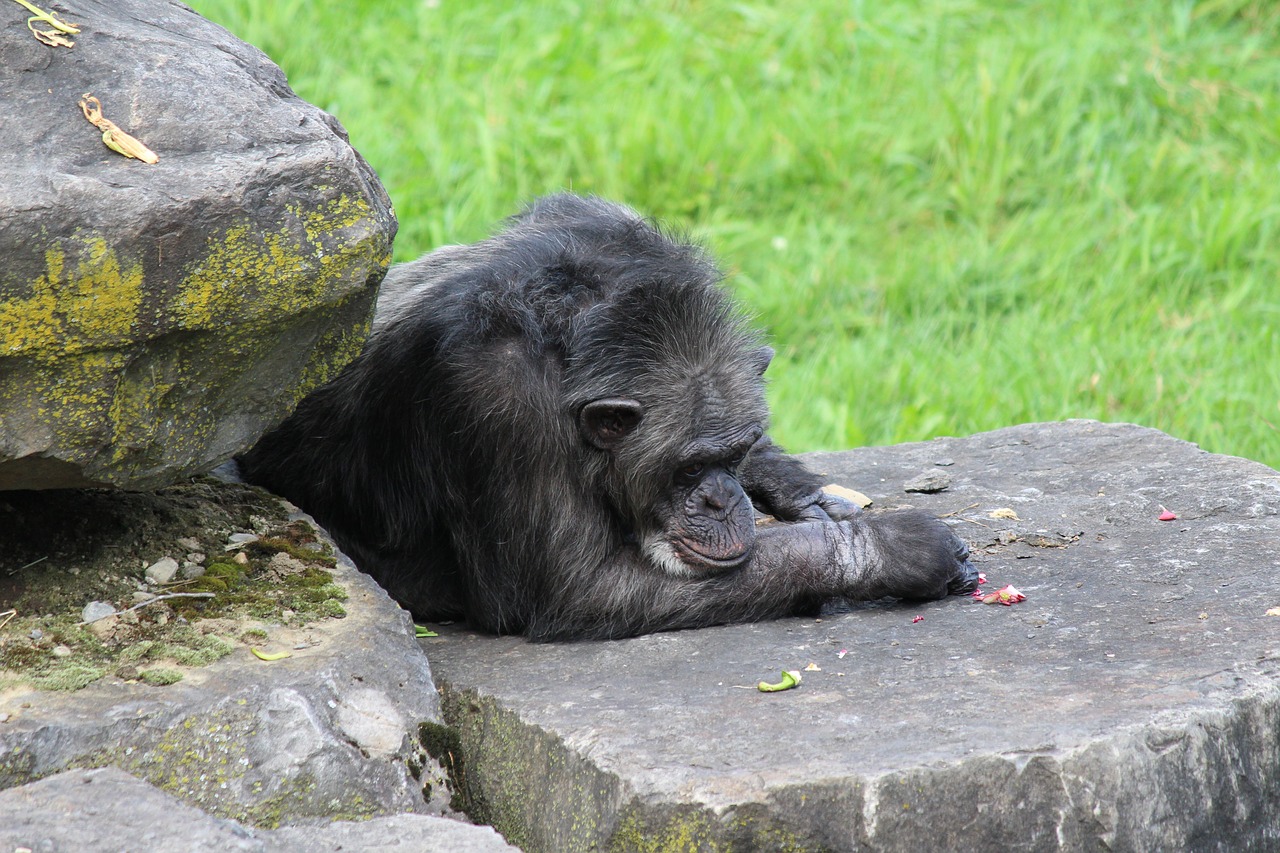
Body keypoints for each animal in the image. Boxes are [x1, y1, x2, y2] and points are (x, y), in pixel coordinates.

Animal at [240, 192, 977, 637]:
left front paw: (805, 491)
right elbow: (579, 591)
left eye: (733, 454)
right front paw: (889, 549)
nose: (722, 497)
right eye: (688, 470)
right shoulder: (495, 404)